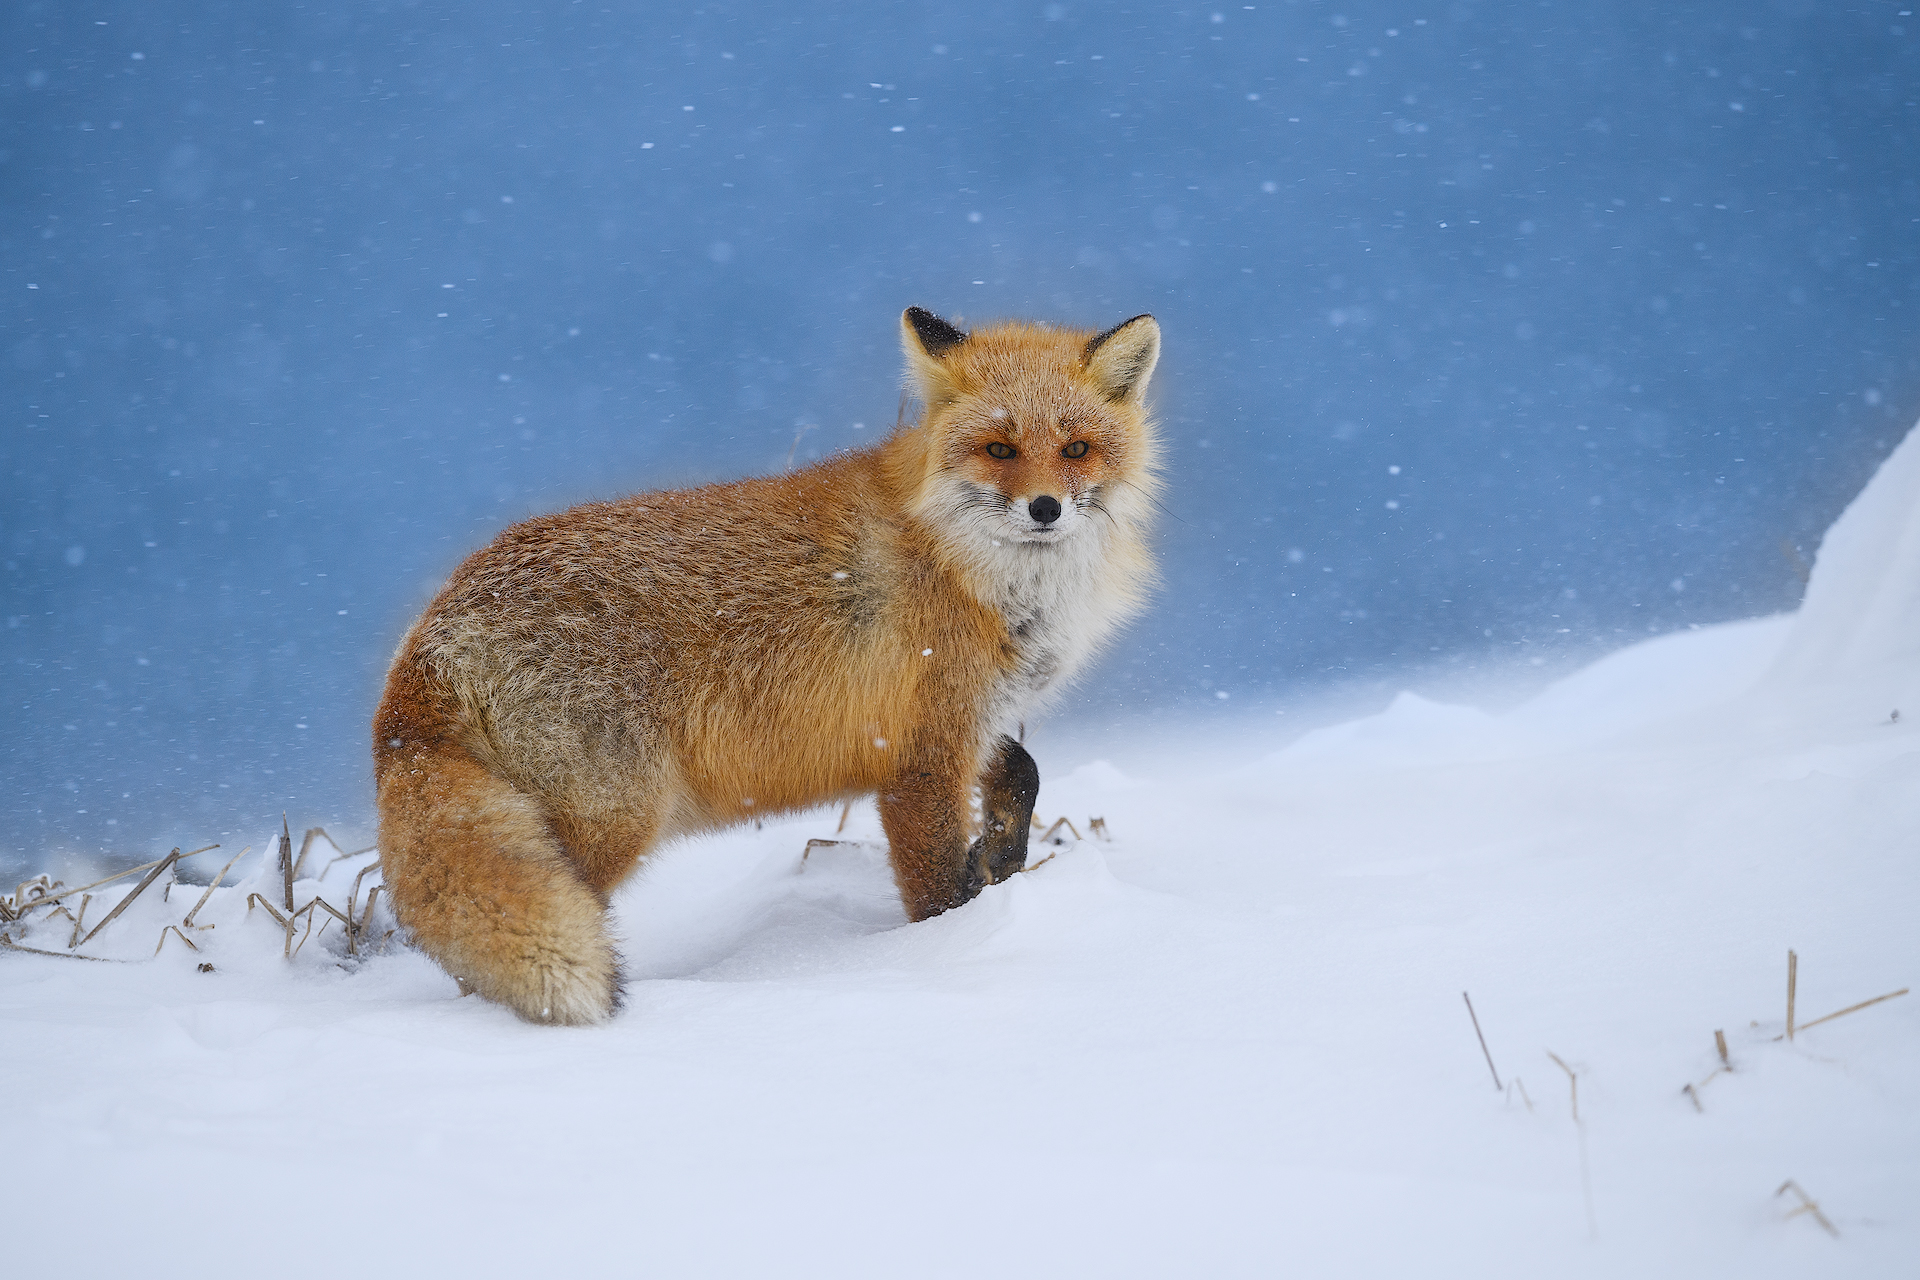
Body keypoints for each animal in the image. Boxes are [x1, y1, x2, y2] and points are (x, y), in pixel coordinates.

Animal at [372, 307, 1162, 1023]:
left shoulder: (974, 718)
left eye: (1076, 448)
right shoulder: (916, 759)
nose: (1044, 508)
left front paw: (1001, 860)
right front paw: (942, 957)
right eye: (999, 448)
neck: (971, 568)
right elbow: (934, 890)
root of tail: (432, 633)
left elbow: (1023, 773)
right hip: (611, 821)